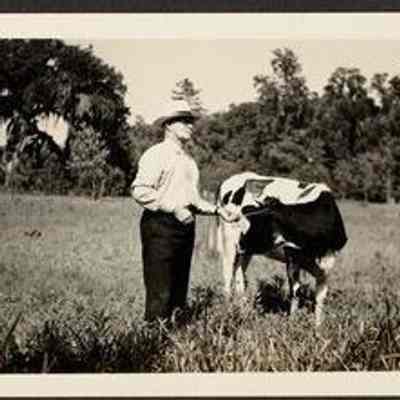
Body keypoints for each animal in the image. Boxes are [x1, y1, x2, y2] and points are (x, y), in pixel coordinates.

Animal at [214, 171, 348, 326]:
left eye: (258, 221)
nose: (240, 243)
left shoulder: (326, 262)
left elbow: (320, 295)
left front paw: (318, 326)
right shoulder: (292, 255)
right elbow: (295, 291)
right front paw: (292, 323)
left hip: (245, 253)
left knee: (240, 278)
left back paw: (241, 311)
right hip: (228, 242)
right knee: (228, 276)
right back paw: (227, 312)